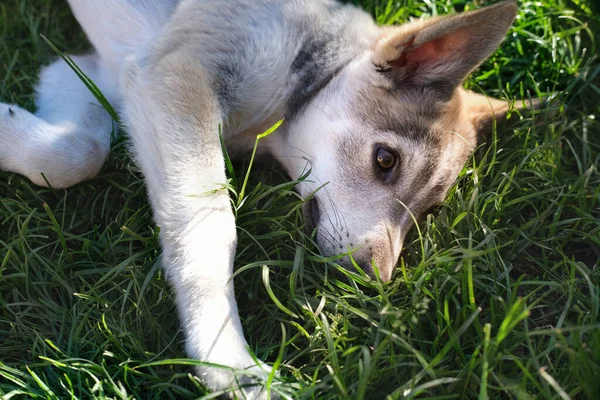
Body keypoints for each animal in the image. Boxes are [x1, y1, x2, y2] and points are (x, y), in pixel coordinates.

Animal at [2, 0, 532, 396]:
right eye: (386, 160)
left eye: (428, 211)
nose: (373, 283)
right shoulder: (176, 75)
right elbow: (209, 229)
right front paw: (229, 363)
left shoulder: (96, 74)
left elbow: (77, 152)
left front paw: (12, 129)